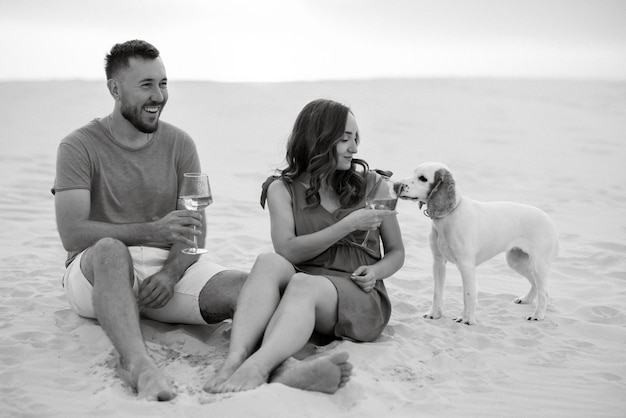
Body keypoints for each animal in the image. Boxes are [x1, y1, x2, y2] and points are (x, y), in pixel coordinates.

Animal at [398, 162, 560, 324]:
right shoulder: (438, 262)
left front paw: (467, 319)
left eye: (422, 178)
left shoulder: (466, 265)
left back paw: (537, 315)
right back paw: (526, 299)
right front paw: (434, 314)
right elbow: (437, 292)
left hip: (538, 265)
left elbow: (468, 295)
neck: (449, 216)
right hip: (516, 261)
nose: (397, 185)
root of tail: (550, 221)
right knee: (535, 285)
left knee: (544, 292)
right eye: (414, 173)